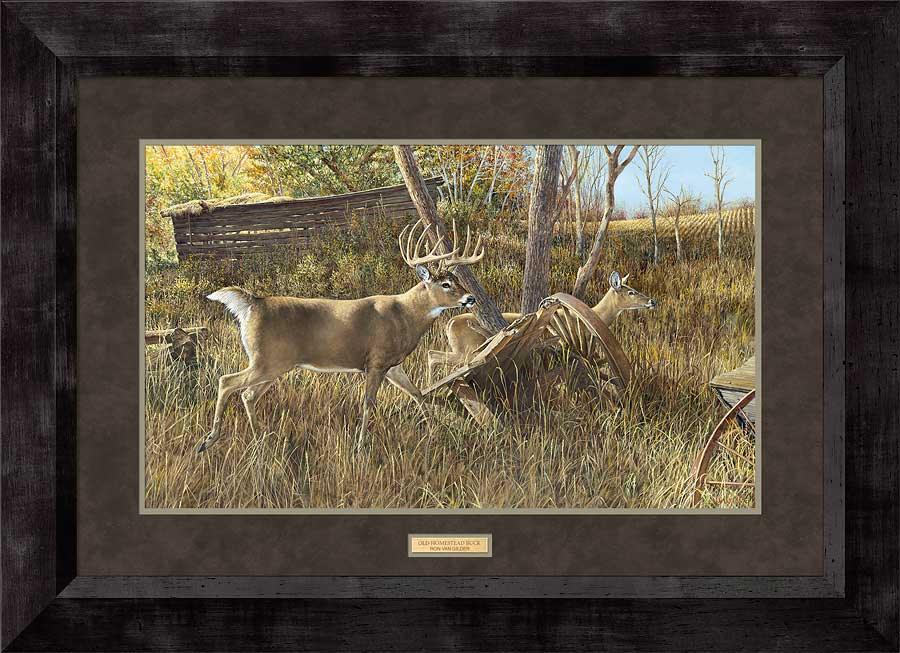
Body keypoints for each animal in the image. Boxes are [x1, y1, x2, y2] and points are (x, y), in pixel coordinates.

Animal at [196, 218, 486, 454]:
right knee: (227, 381)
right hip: (267, 360)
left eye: (456, 280)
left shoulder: (393, 365)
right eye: (445, 284)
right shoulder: (375, 361)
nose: (470, 298)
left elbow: (417, 393)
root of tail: (252, 303)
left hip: (273, 365)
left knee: (247, 395)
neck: (404, 314)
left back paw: (261, 440)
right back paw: (208, 441)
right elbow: (369, 402)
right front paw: (360, 446)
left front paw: (435, 431)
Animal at [426, 271, 656, 377]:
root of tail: (449, 323)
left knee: (432, 355)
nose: (652, 301)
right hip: (468, 351)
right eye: (631, 292)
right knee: (434, 357)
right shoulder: (564, 345)